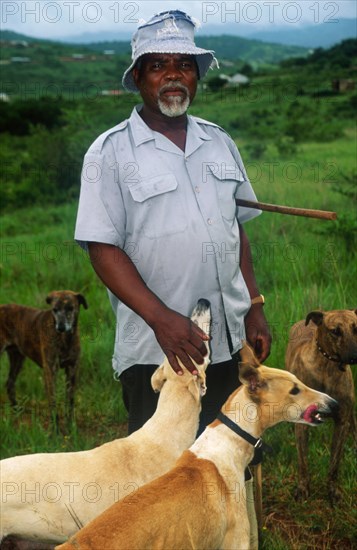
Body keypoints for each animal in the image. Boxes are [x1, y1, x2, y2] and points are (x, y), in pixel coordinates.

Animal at [0, 292, 87, 430]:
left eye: (70, 308)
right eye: (54, 310)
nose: (60, 327)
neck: (65, 339)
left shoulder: (72, 368)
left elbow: (70, 400)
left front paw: (70, 426)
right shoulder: (50, 370)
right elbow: (52, 400)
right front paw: (55, 430)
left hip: (18, 358)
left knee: (9, 383)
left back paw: (17, 410)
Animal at [286, 310, 357, 504]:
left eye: (356, 328)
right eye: (335, 331)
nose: (355, 356)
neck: (328, 367)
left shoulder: (342, 420)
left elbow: (334, 464)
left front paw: (333, 491)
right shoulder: (302, 425)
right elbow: (303, 462)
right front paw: (303, 489)